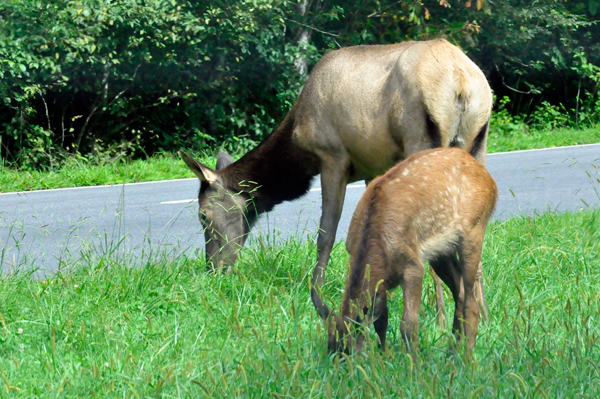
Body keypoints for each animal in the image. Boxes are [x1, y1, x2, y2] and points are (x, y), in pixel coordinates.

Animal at [180, 37, 494, 324]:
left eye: (203, 214)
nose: (214, 269)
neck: (296, 144)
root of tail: (462, 82)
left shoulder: (332, 157)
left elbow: (326, 235)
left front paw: (320, 301)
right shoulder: (374, 167)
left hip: (420, 138)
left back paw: (441, 319)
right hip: (478, 142)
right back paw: (481, 315)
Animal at [326, 148, 500, 354]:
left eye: (347, 349)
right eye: (331, 347)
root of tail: (490, 179)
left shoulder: (413, 264)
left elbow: (408, 324)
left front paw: (413, 361)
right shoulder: (381, 282)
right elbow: (381, 321)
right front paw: (384, 356)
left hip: (474, 228)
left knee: (471, 302)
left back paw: (467, 355)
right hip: (442, 252)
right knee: (460, 292)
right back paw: (452, 352)